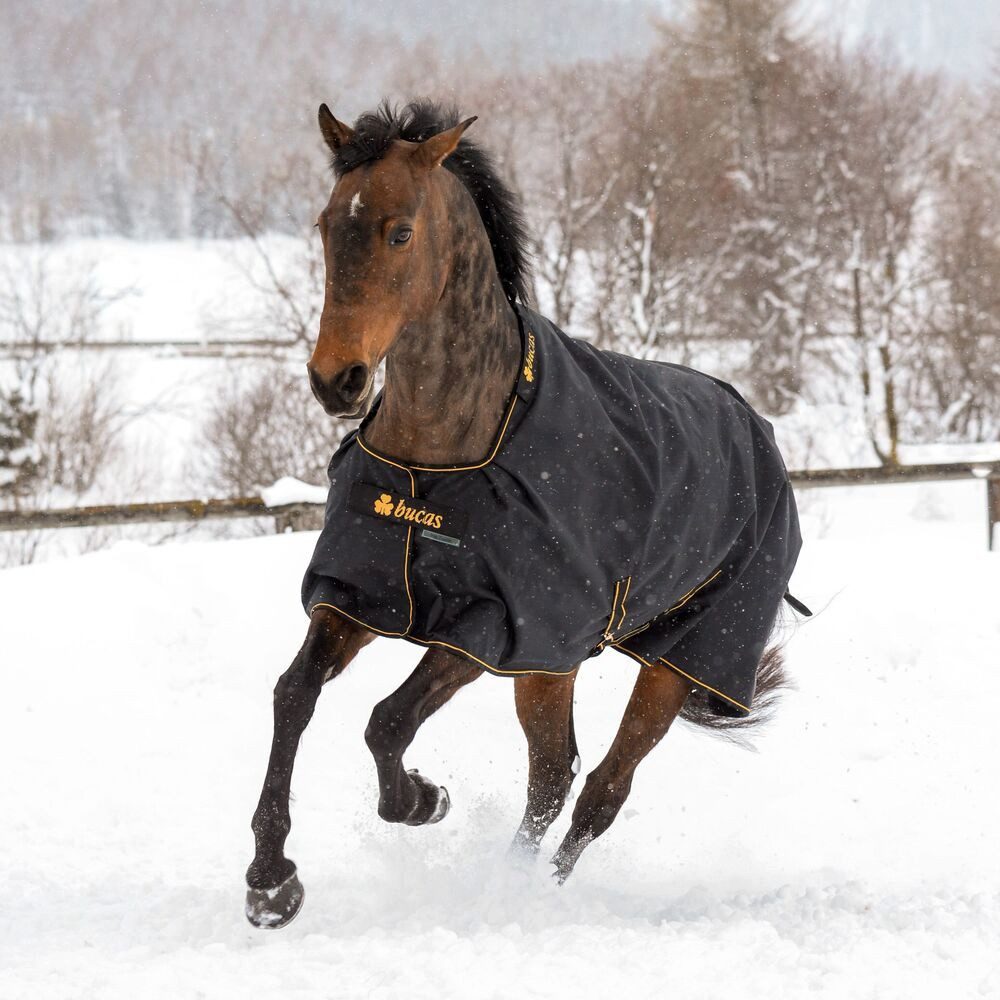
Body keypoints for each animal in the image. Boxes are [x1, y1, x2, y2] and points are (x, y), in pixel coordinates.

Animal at [245, 100, 804, 929]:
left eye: (399, 231)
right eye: (324, 225)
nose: (335, 380)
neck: (441, 459)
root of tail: (755, 428)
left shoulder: (489, 626)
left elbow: (386, 720)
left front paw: (424, 800)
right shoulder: (363, 597)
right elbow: (294, 695)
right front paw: (271, 881)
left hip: (674, 660)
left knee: (601, 789)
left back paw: (522, 897)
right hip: (552, 663)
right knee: (552, 772)